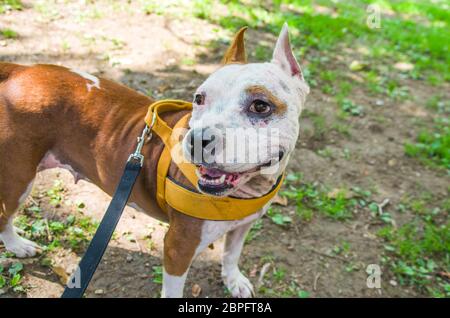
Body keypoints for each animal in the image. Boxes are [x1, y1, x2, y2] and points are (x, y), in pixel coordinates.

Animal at [0, 23, 310, 298]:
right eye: (199, 98)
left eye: (260, 105)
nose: (196, 140)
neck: (247, 189)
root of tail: (20, 70)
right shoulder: (178, 248)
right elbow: (174, 290)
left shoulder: (244, 225)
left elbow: (232, 254)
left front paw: (233, 281)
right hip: (17, 179)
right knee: (5, 216)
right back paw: (17, 246)